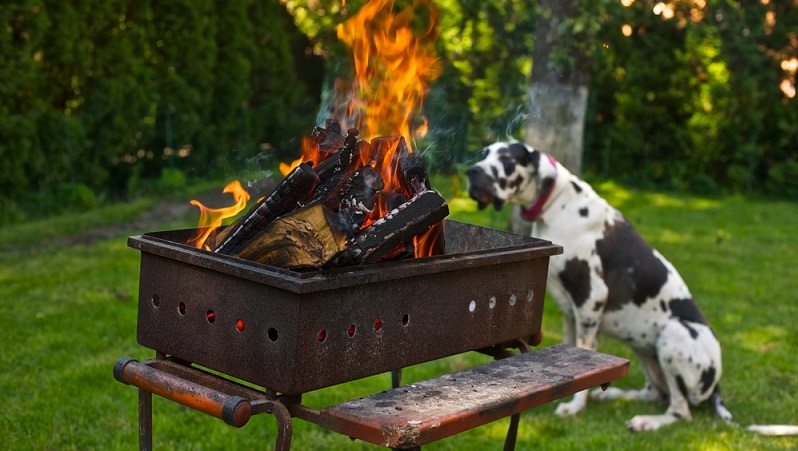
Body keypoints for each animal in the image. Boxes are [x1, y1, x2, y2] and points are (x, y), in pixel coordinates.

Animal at [468, 141, 736, 430]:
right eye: (484, 154)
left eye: (507, 161)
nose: (473, 172)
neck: (558, 202)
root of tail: (717, 386)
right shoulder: (569, 311)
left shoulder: (590, 299)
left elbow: (585, 350)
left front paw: (575, 406)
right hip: (643, 349)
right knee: (656, 393)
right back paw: (615, 395)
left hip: (674, 332)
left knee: (680, 411)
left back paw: (646, 422)